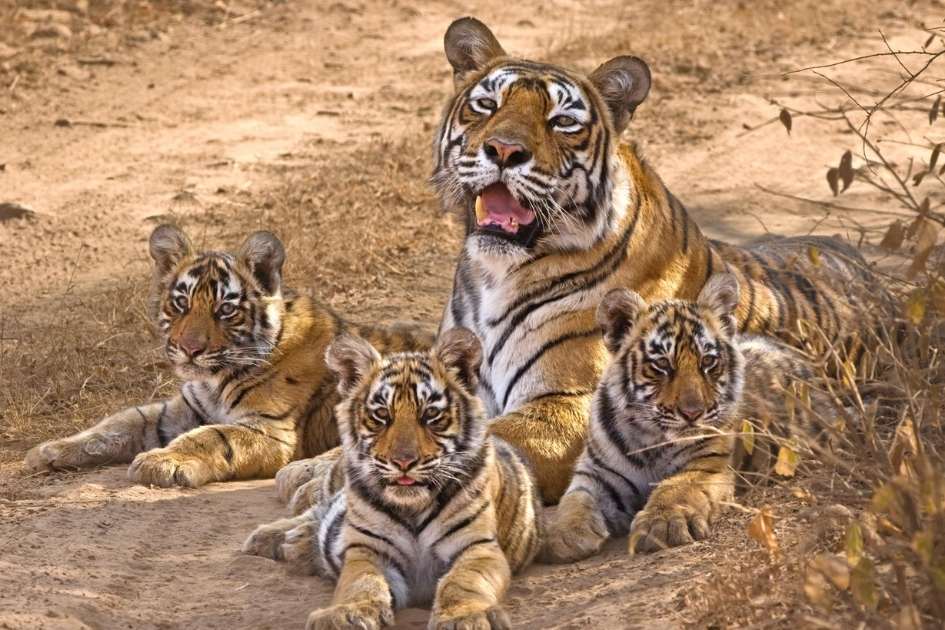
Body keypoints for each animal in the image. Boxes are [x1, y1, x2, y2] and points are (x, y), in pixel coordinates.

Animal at [23, 225, 433, 488]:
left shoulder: (270, 430)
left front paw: (161, 462)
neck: (215, 378)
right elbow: (118, 423)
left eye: (225, 310)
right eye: (181, 303)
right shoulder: (179, 410)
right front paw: (49, 450)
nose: (190, 349)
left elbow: (212, 437)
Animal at [253, 328, 541, 630]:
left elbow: (462, 583)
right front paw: (344, 614)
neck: (413, 508)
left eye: (431, 414)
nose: (403, 462)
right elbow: (360, 583)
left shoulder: (477, 547)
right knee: (316, 510)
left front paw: (465, 617)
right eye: (381, 414)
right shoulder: (368, 549)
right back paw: (275, 538)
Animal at [276, 16, 877, 509]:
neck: (494, 274)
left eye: (562, 121)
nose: (504, 151)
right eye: (487, 106)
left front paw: (320, 481)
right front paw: (308, 470)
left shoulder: (567, 404)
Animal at [542, 274, 830, 561]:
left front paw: (663, 524)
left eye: (708, 361)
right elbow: (575, 499)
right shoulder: (598, 473)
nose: (693, 413)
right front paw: (563, 534)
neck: (651, 439)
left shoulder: (707, 464)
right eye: (662, 364)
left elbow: (676, 488)